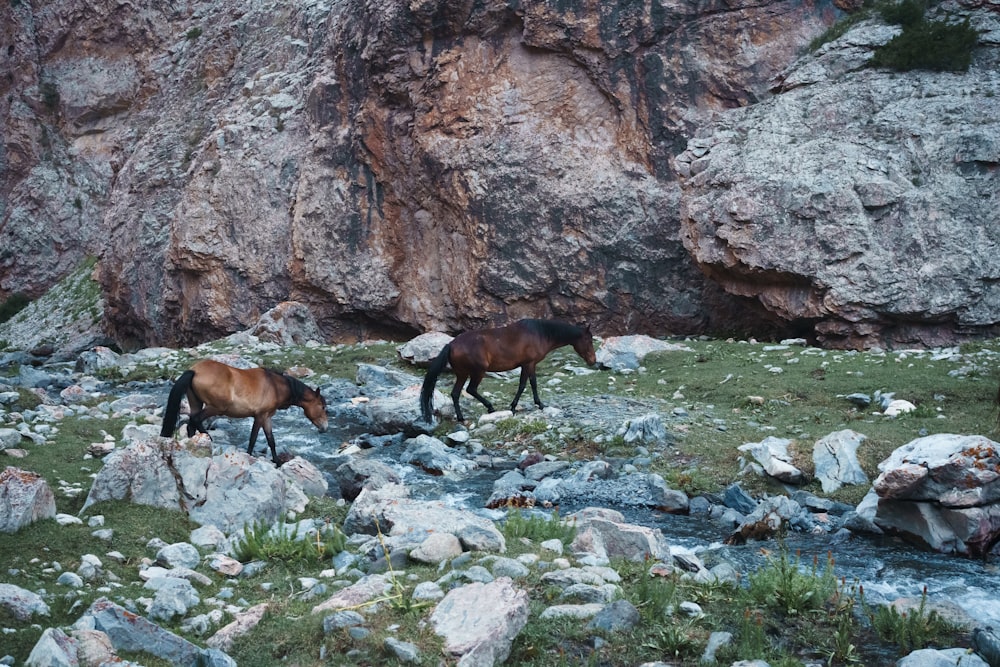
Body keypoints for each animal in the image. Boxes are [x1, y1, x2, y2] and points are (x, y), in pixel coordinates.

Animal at [158, 360, 326, 464]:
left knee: (191, 424)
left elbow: (271, 440)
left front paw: (277, 461)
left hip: (196, 403)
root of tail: (195, 370)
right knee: (195, 420)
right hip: (216, 407)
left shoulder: (267, 418)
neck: (276, 386)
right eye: (323, 407)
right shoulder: (259, 416)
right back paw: (209, 439)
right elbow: (253, 438)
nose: (325, 428)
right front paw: (249, 455)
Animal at [420, 318, 596, 422]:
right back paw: (490, 407)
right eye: (589, 340)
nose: (593, 361)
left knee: (456, 393)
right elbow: (530, 384)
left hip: (462, 374)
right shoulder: (530, 364)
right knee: (471, 389)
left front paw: (514, 406)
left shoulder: (526, 365)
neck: (540, 333)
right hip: (478, 372)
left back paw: (461, 417)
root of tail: (451, 344)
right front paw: (538, 404)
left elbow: (523, 384)